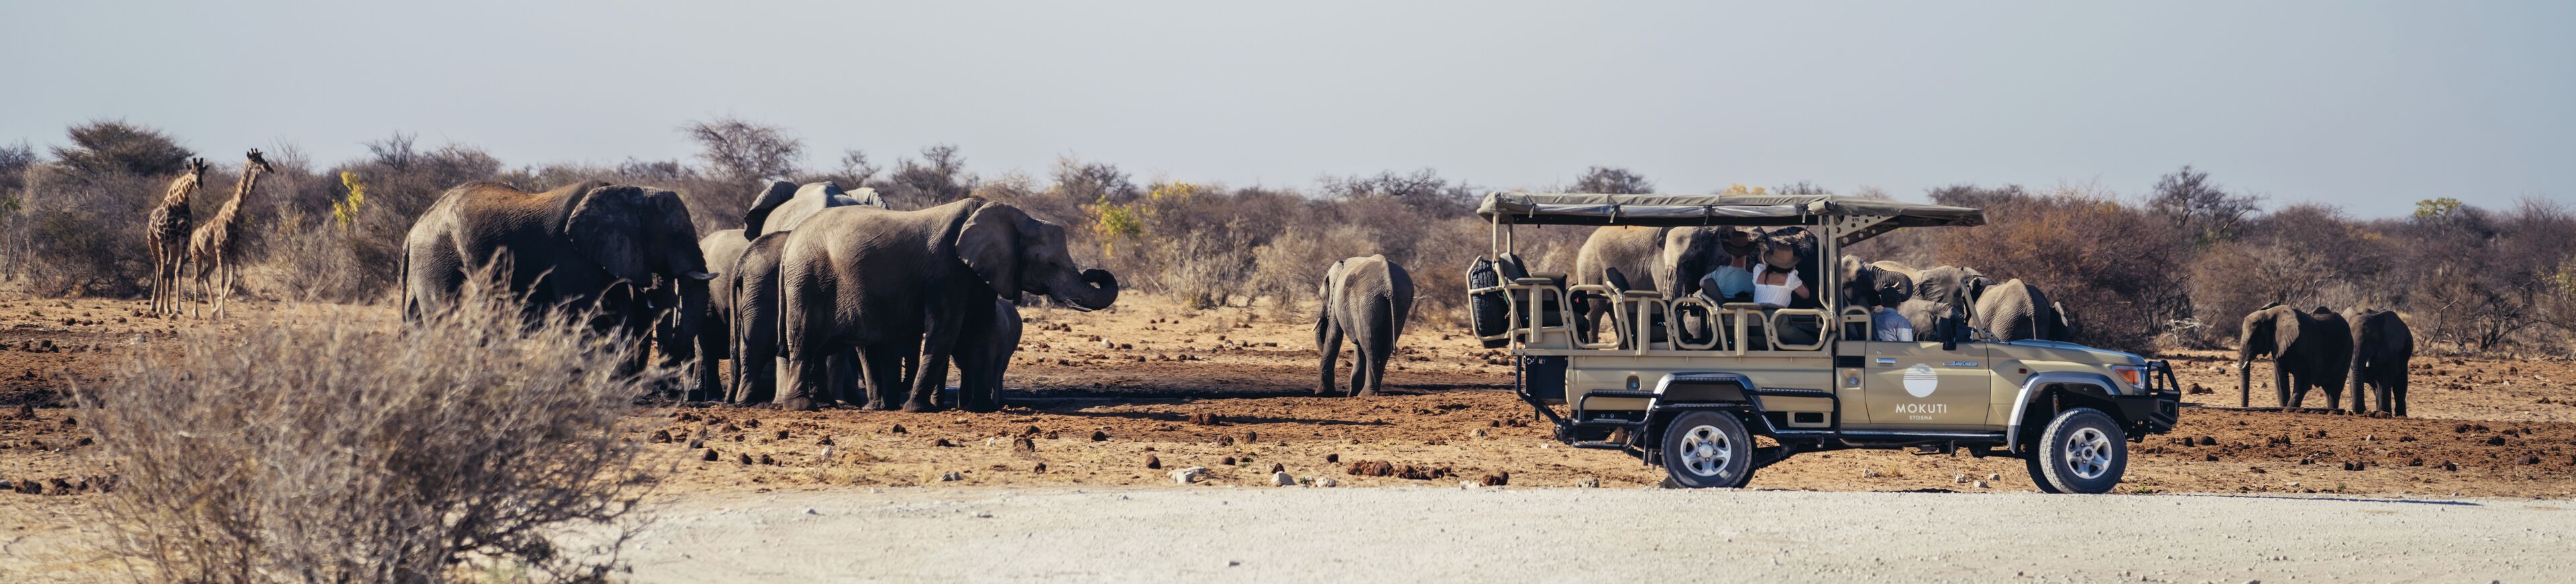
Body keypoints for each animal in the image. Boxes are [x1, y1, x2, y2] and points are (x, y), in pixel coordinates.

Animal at [401, 181, 716, 394]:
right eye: (675, 235)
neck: (629, 192)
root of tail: (413, 230)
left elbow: (618, 313)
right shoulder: (572, 255)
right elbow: (593, 315)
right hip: (438, 258)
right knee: (445, 319)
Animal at [1316, 255, 1415, 397]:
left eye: (1321, 297)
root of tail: (1389, 286)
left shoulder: (1336, 300)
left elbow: (1334, 335)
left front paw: (1322, 393)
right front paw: (1351, 394)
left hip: (1367, 301)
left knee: (1370, 345)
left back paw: (1366, 394)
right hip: (1400, 302)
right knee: (1384, 346)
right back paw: (1370, 392)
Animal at [2237, 302, 2354, 411]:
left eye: (2253, 338)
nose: (2245, 407)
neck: (2271, 313)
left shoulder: (2304, 344)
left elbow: (2304, 383)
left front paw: (2289, 409)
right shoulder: (2278, 348)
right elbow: (2280, 382)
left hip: (2347, 350)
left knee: (2334, 389)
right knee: (2329, 390)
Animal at [2344, 308, 2415, 416]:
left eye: (2372, 340)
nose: (2365, 411)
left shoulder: (2389, 351)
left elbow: (2384, 380)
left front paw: (2384, 414)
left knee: (2399, 387)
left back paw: (2400, 415)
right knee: (2376, 388)